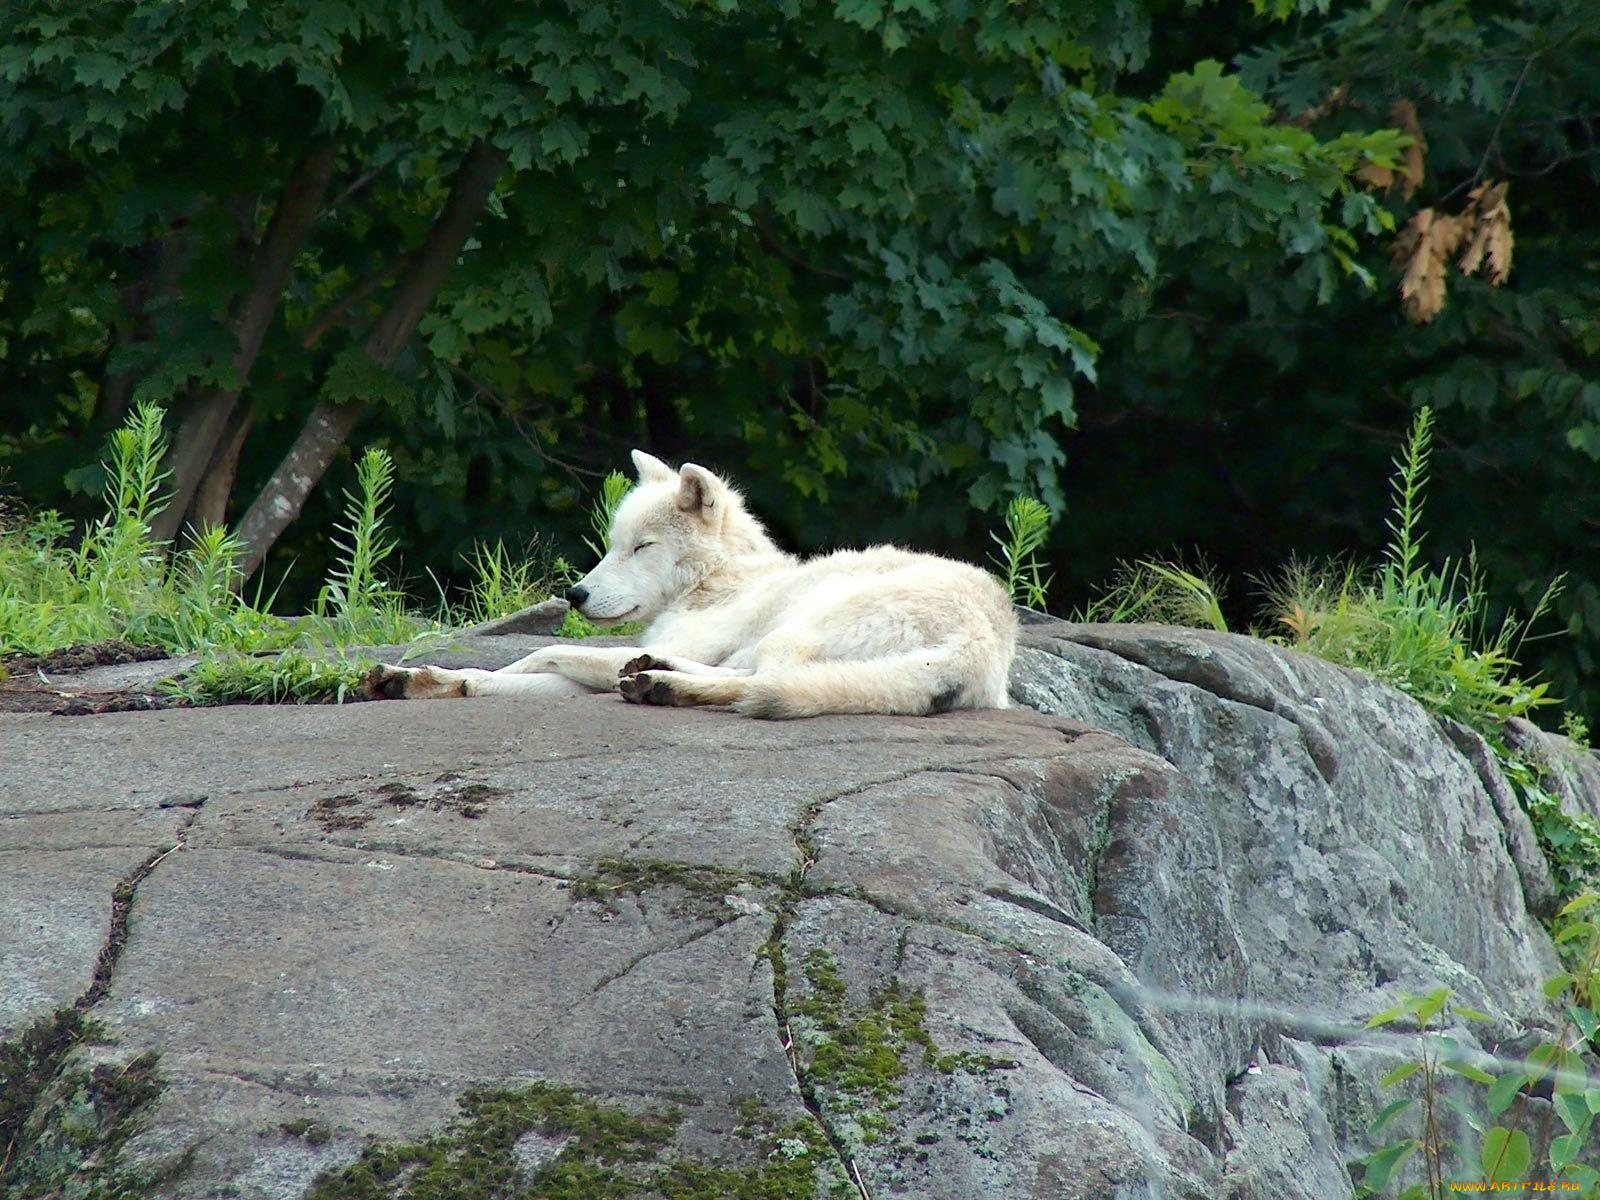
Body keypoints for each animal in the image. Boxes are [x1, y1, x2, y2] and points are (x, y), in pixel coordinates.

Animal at [366, 448, 1011, 713]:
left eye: (642, 548)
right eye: (611, 545)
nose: (574, 595)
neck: (720, 581)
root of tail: (985, 643)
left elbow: (538, 653)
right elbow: (497, 678)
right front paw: (417, 680)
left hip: (801, 625)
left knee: (766, 685)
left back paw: (662, 682)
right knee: (751, 678)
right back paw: (656, 675)